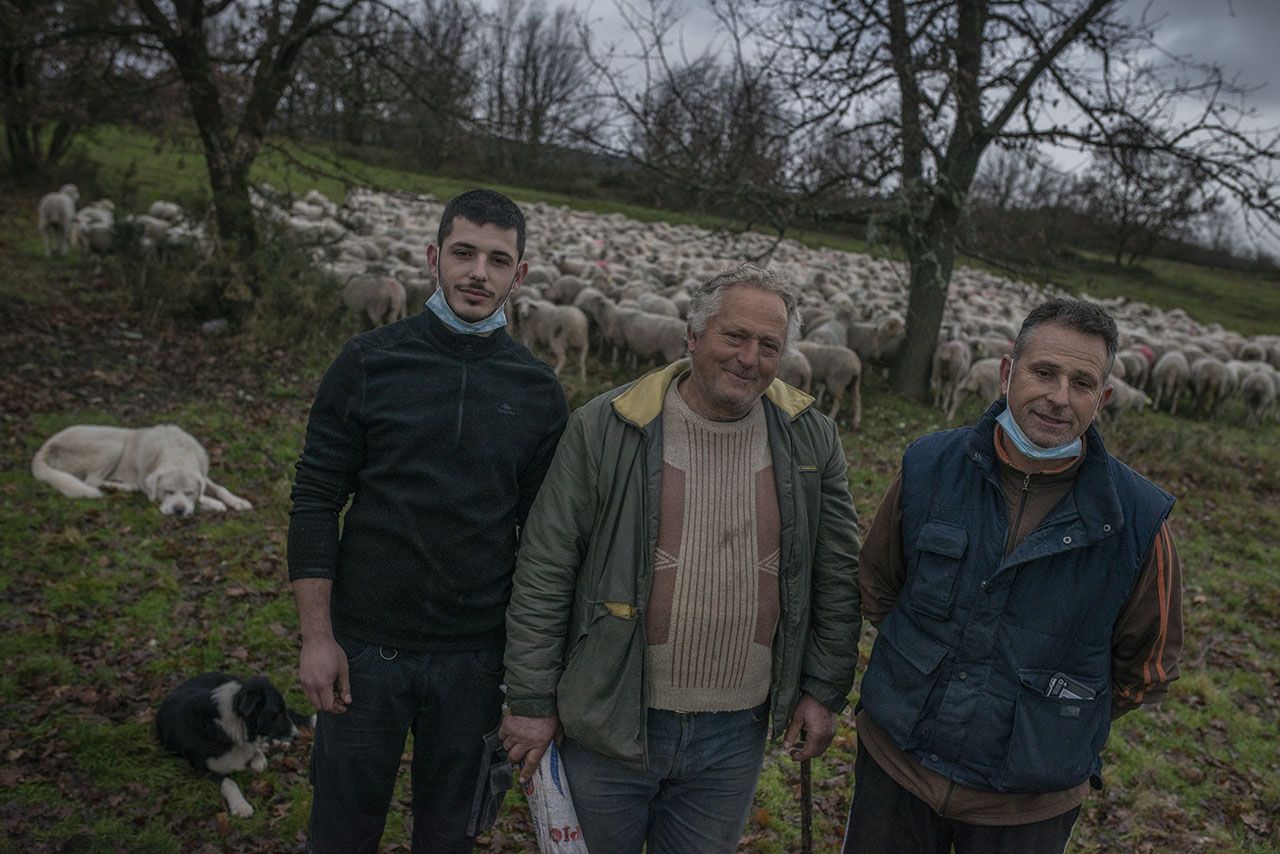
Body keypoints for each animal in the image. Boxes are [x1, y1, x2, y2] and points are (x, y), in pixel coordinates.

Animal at [32, 425, 252, 517]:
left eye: (189, 492)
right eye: (167, 491)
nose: (178, 510)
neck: (177, 453)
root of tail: (43, 448)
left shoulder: (203, 475)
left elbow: (220, 488)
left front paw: (238, 501)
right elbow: (205, 497)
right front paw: (215, 504)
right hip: (113, 444)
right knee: (91, 482)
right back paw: (113, 485)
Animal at [156, 670, 314, 819]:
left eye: (283, 712)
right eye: (278, 714)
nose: (297, 736)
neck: (232, 726)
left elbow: (258, 760)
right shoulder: (202, 767)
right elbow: (230, 781)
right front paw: (241, 806)